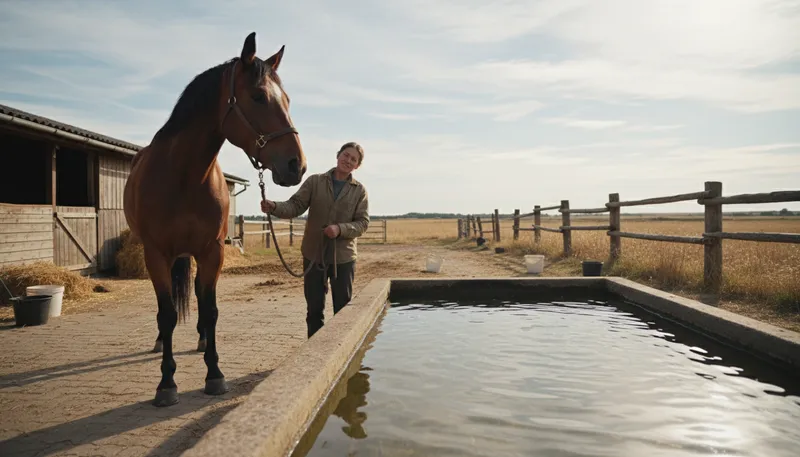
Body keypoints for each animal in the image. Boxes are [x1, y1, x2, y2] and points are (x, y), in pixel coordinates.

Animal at [123, 32, 307, 407]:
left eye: (287, 99)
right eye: (258, 96)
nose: (297, 165)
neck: (183, 177)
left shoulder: (212, 251)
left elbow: (210, 310)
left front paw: (215, 374)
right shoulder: (155, 254)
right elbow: (167, 313)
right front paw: (166, 383)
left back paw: (202, 339)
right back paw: (162, 343)